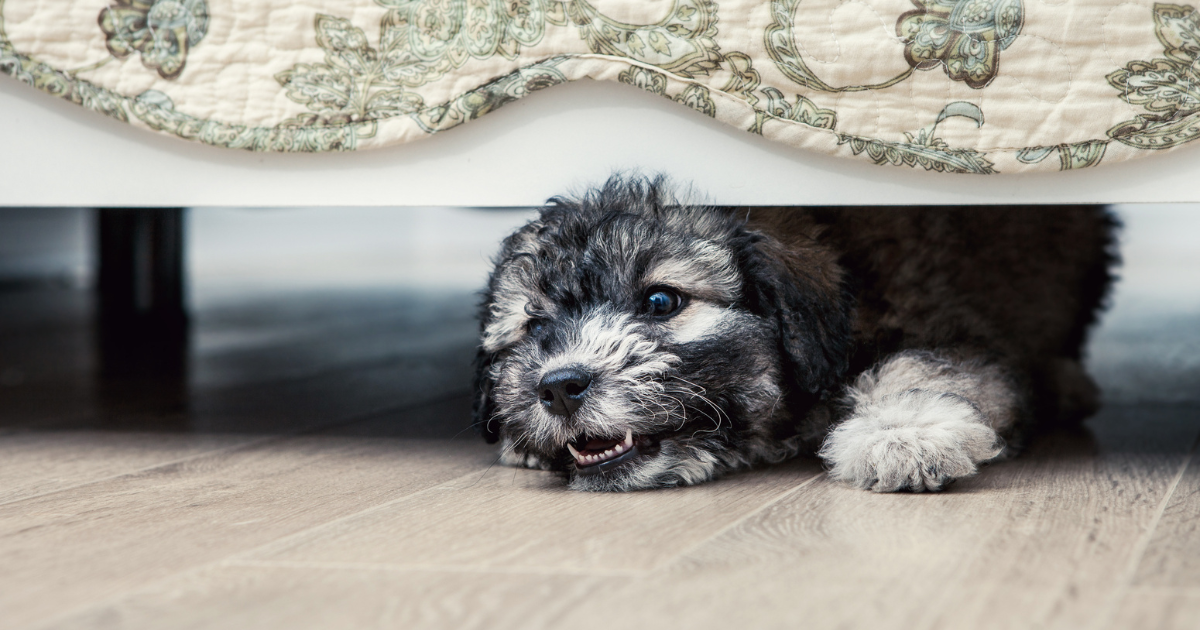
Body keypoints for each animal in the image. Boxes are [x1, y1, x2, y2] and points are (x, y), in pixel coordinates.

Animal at [468, 175, 1113, 492]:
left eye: (660, 301)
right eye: (535, 324)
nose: (558, 386)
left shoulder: (951, 328)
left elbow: (925, 366)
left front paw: (901, 435)